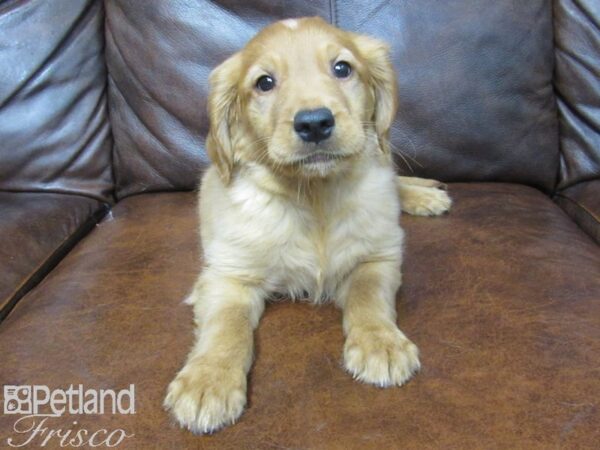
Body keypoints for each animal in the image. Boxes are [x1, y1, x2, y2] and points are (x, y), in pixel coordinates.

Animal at [164, 16, 450, 432]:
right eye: (264, 82)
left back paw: (424, 194)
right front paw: (208, 381)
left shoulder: (378, 256)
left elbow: (367, 297)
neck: (314, 198)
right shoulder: (229, 275)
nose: (315, 123)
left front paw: (381, 342)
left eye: (342, 68)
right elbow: (227, 327)